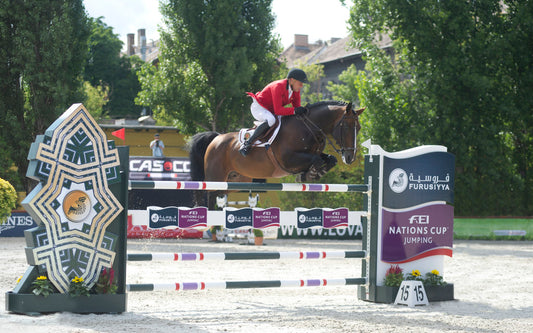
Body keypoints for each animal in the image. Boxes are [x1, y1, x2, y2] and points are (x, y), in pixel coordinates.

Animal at [188, 100, 366, 208]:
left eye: (358, 128)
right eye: (347, 126)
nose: (350, 158)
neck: (309, 128)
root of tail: (216, 138)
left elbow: (330, 159)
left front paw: (314, 174)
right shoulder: (288, 160)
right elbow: (315, 160)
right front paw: (308, 175)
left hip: (236, 180)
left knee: (220, 194)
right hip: (215, 178)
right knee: (209, 194)